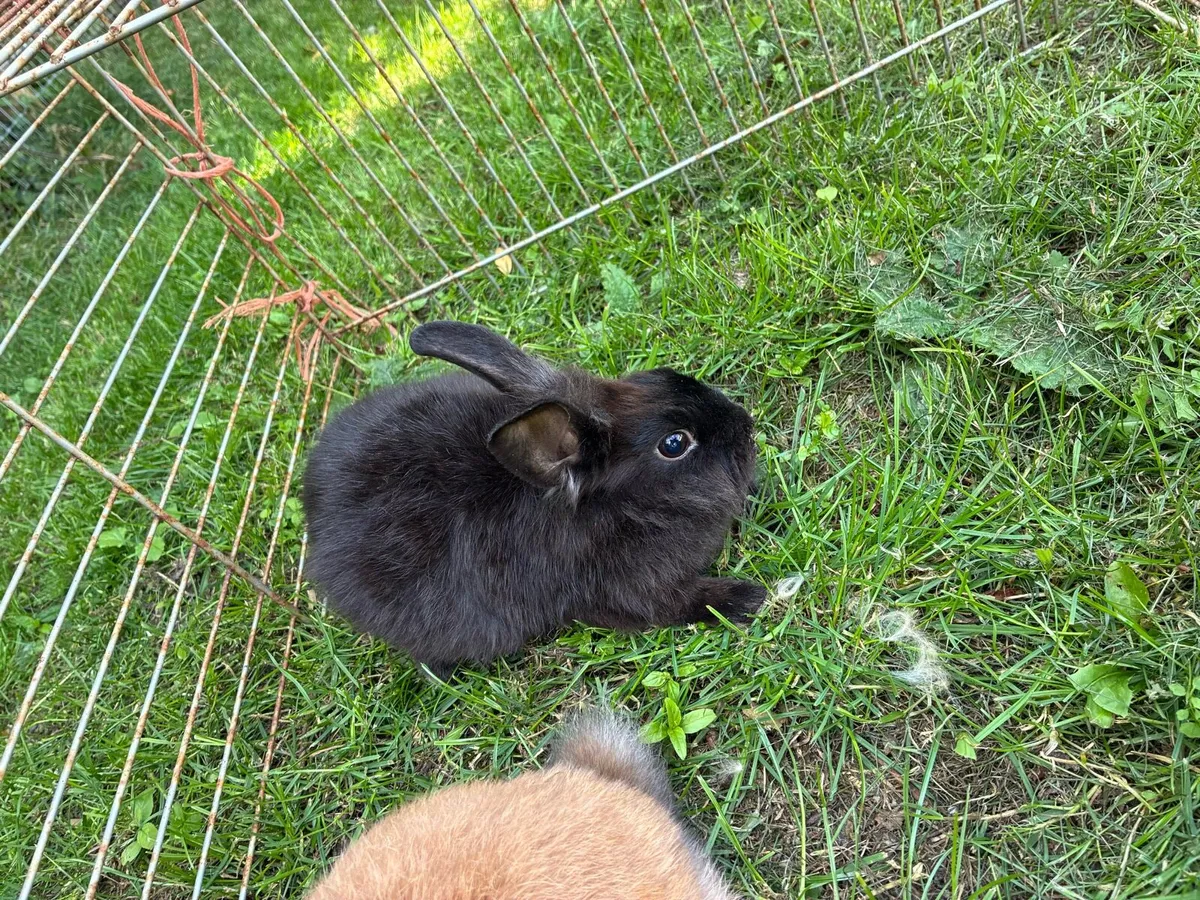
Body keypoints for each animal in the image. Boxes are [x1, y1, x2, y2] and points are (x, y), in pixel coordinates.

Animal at [302, 321, 764, 676]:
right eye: (674, 443)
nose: (746, 425)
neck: (618, 507)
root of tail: (313, 511)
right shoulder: (627, 592)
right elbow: (678, 604)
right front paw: (745, 597)